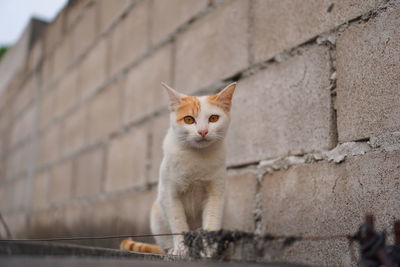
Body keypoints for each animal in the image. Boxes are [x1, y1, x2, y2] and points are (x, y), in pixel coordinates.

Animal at [120, 82, 236, 258]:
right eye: (188, 119)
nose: (203, 131)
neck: (197, 156)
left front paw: (208, 250)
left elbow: (211, 221)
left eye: (213, 118)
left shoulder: (216, 194)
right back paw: (172, 250)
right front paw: (181, 249)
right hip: (157, 213)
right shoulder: (170, 194)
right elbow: (178, 223)